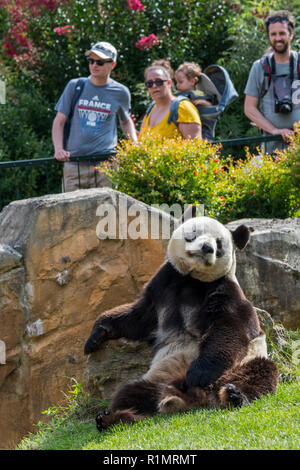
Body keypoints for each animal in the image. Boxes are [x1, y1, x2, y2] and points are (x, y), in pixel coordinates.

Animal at [84, 215, 278, 432]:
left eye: (219, 244)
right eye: (194, 233)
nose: (207, 248)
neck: (191, 279)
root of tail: (191, 399)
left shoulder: (224, 290)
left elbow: (230, 327)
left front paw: (199, 374)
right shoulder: (163, 285)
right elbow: (137, 317)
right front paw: (95, 337)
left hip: (244, 363)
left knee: (259, 374)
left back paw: (234, 396)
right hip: (157, 379)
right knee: (131, 395)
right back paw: (111, 418)